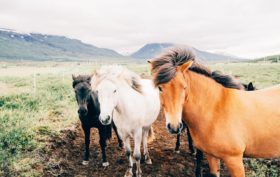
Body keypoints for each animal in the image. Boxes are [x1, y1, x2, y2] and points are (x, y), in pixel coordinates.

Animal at [150, 47, 280, 176]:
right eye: (160, 88)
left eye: (184, 87)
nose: (174, 126)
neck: (216, 110)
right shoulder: (211, 156)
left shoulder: (234, 160)